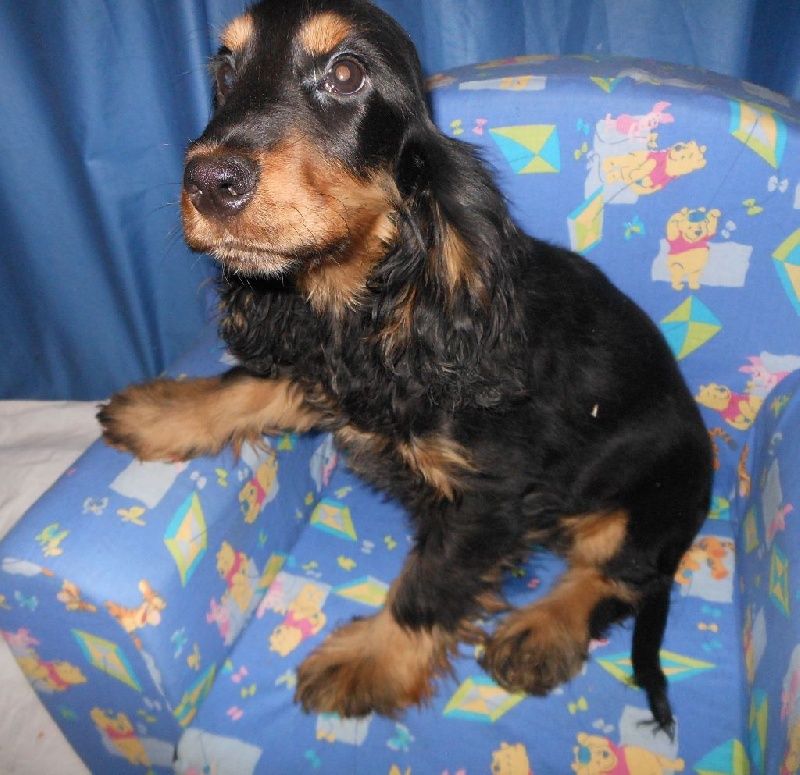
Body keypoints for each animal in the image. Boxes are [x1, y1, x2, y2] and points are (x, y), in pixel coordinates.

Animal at [98, 0, 712, 733]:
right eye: (225, 69)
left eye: (346, 73)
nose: (209, 182)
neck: (372, 297)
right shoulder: (331, 373)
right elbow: (252, 384)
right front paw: (167, 411)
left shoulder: (488, 494)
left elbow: (432, 583)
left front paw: (371, 658)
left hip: (651, 499)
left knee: (625, 575)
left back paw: (541, 632)